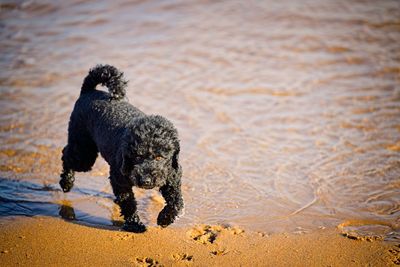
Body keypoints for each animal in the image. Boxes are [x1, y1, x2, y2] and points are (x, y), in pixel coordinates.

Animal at [58, 64, 184, 232]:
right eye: (137, 156)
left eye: (160, 157)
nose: (146, 181)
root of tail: (88, 91)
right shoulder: (119, 180)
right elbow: (129, 204)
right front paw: (134, 224)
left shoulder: (173, 178)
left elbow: (176, 201)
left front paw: (165, 218)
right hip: (84, 153)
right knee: (66, 155)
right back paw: (66, 182)